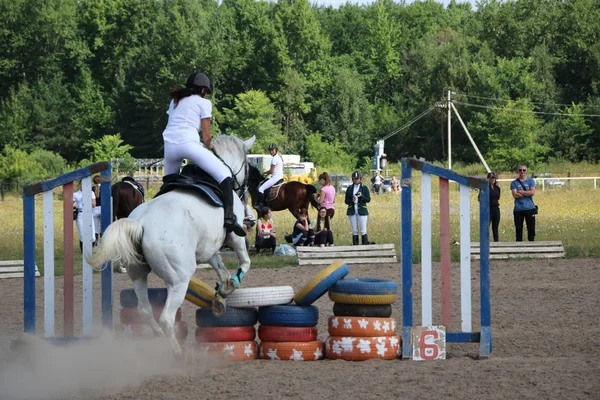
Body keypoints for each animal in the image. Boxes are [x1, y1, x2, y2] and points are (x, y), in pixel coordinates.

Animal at [89, 134, 255, 354]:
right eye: (248, 165)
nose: (246, 194)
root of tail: (141, 223)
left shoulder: (208, 248)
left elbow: (220, 269)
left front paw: (223, 293)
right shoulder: (235, 237)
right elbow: (245, 262)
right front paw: (233, 283)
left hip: (138, 274)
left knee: (144, 310)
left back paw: (159, 336)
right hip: (179, 279)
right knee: (166, 318)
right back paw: (178, 352)